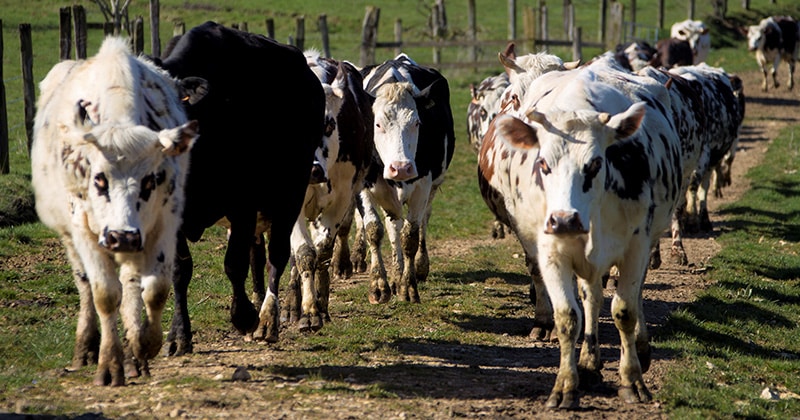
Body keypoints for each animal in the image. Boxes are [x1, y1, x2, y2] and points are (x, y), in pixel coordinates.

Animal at [31, 36, 200, 384]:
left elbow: (156, 289)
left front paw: (145, 343)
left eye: (151, 179)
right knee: (85, 284)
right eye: (99, 178)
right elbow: (104, 294)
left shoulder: (164, 224)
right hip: (73, 238)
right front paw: (109, 363)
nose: (122, 236)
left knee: (132, 283)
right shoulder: (83, 228)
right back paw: (86, 347)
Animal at [155, 21, 326, 352]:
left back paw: (268, 319)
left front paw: (245, 316)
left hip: (291, 192)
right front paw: (179, 335)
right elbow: (180, 270)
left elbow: (234, 263)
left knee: (277, 255)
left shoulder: (243, 204)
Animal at [352, 52, 456, 304]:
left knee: (422, 221)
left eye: (417, 122)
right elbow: (373, 229)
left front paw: (408, 286)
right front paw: (379, 285)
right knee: (392, 226)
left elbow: (411, 235)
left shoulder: (423, 185)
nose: (401, 168)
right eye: (377, 124)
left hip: (432, 186)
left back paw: (417, 267)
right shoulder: (363, 186)